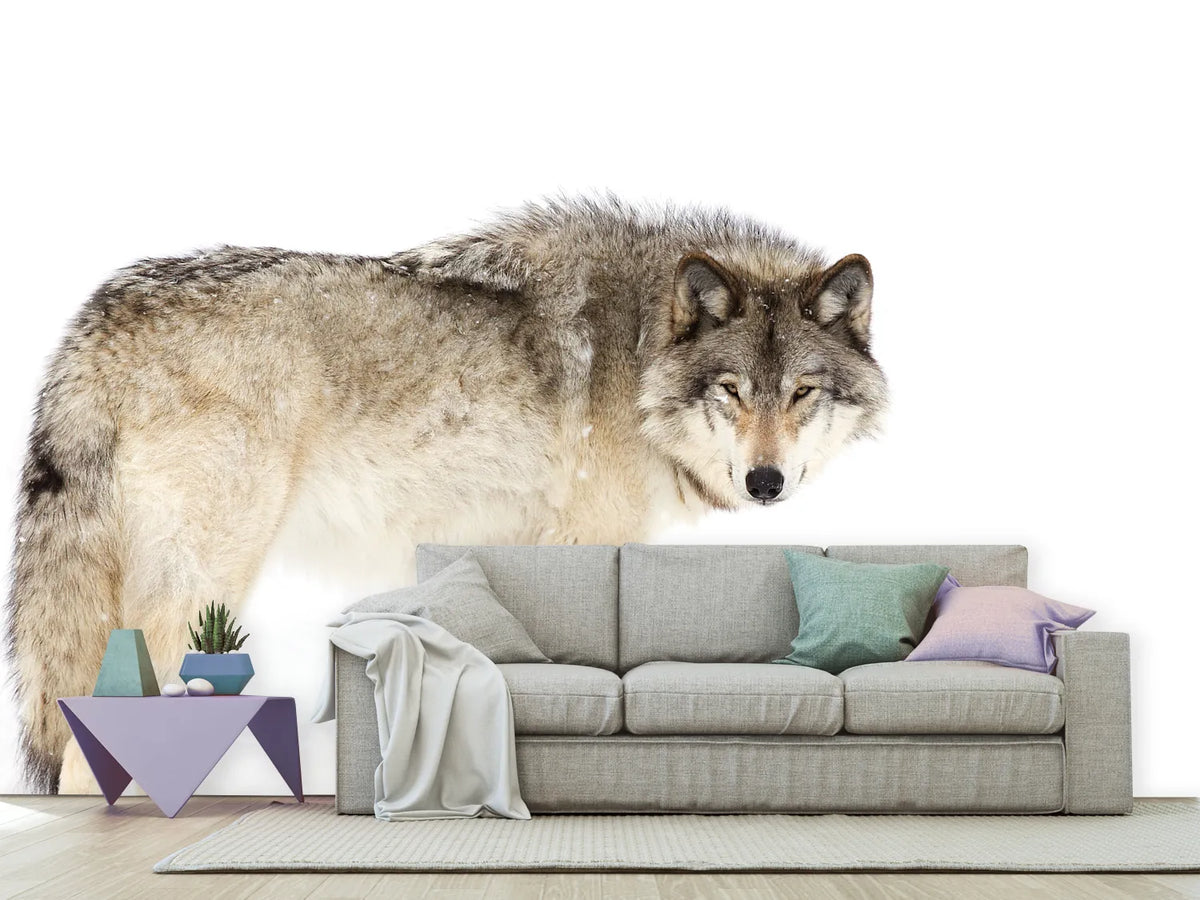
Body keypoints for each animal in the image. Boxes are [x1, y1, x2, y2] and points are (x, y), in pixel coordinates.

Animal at [7, 197, 886, 793]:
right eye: (732, 391)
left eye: (802, 392)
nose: (766, 482)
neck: (638, 356)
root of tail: (96, 317)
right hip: (202, 584)